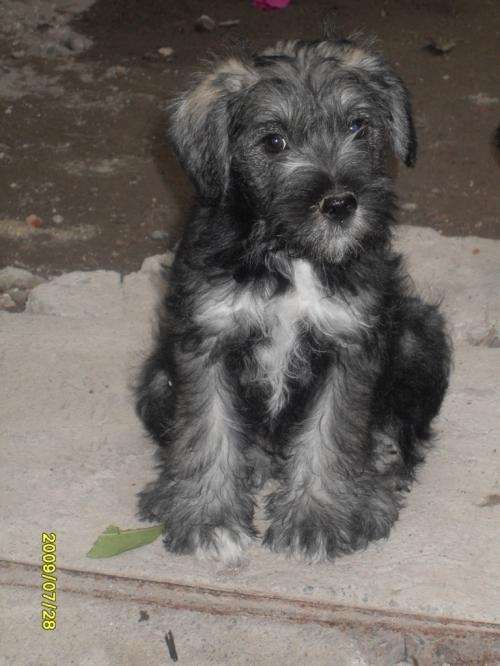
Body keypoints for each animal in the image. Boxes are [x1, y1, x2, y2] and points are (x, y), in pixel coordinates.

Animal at [135, 35, 452, 560]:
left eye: (358, 126)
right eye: (273, 142)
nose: (341, 204)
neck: (291, 254)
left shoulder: (349, 344)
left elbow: (331, 434)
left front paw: (318, 518)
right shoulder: (207, 340)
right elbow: (208, 429)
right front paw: (207, 517)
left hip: (418, 334)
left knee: (400, 432)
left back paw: (378, 471)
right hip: (157, 379)